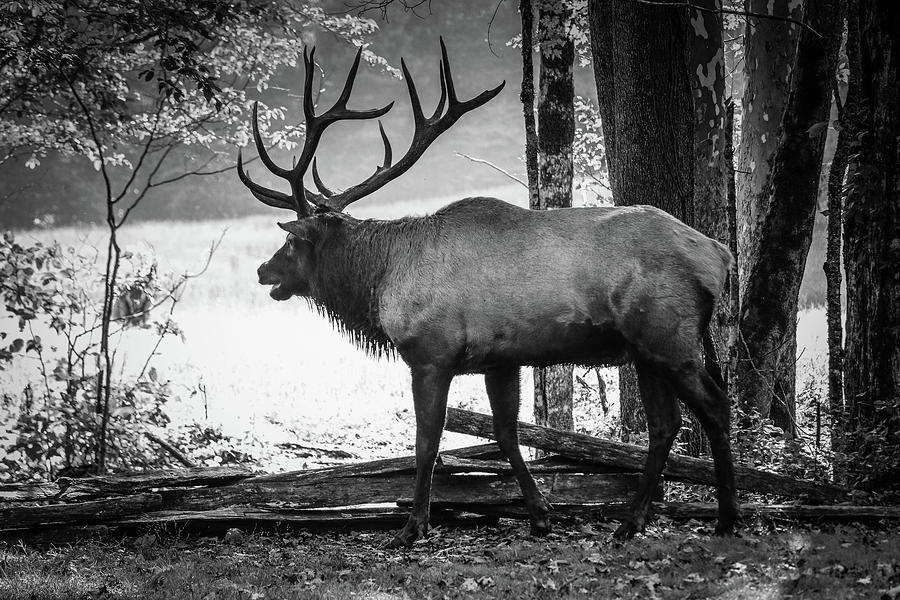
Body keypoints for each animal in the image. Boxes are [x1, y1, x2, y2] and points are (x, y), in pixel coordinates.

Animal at [237, 41, 740, 548]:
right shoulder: (501, 359)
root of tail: (720, 255)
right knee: (665, 424)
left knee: (716, 407)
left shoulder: (431, 354)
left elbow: (427, 443)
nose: (261, 269)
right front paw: (541, 515)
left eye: (290, 241)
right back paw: (630, 522)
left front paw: (412, 527)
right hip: (644, 349)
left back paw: (727, 518)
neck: (382, 281)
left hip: (669, 336)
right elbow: (506, 435)